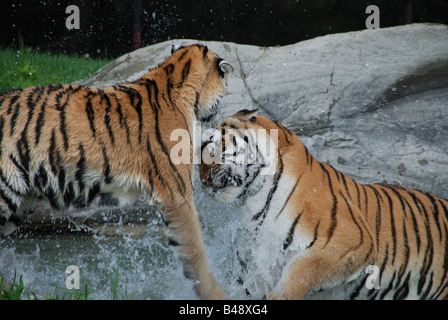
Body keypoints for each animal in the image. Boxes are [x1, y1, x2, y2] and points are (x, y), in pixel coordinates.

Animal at [0, 43, 233, 300]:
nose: (218, 112)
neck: (173, 77)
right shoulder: (176, 194)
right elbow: (194, 248)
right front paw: (217, 294)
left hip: (23, 202)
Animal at [200, 110, 448, 300]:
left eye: (212, 148)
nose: (203, 182)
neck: (252, 201)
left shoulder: (349, 241)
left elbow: (301, 270)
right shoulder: (251, 269)